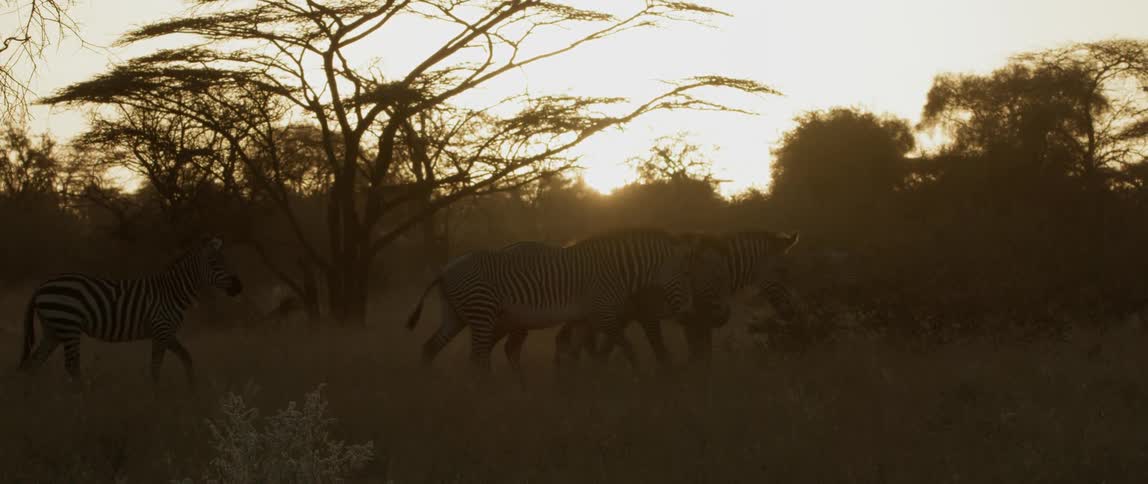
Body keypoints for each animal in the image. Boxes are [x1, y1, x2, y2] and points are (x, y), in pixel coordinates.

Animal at [18, 237, 243, 386]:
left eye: (226, 260)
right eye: (214, 263)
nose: (238, 287)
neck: (173, 292)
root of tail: (42, 286)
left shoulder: (165, 332)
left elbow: (184, 358)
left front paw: (190, 389)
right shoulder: (162, 329)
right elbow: (157, 365)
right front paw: (158, 396)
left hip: (53, 329)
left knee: (33, 363)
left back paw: (32, 398)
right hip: (68, 325)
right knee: (71, 366)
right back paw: (81, 400)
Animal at [404, 229, 710, 373]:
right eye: (685, 274)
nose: (689, 313)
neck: (616, 270)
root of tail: (445, 270)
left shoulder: (584, 319)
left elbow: (575, 352)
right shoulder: (603, 314)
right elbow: (628, 347)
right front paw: (638, 379)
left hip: (455, 315)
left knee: (430, 348)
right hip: (482, 314)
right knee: (477, 358)